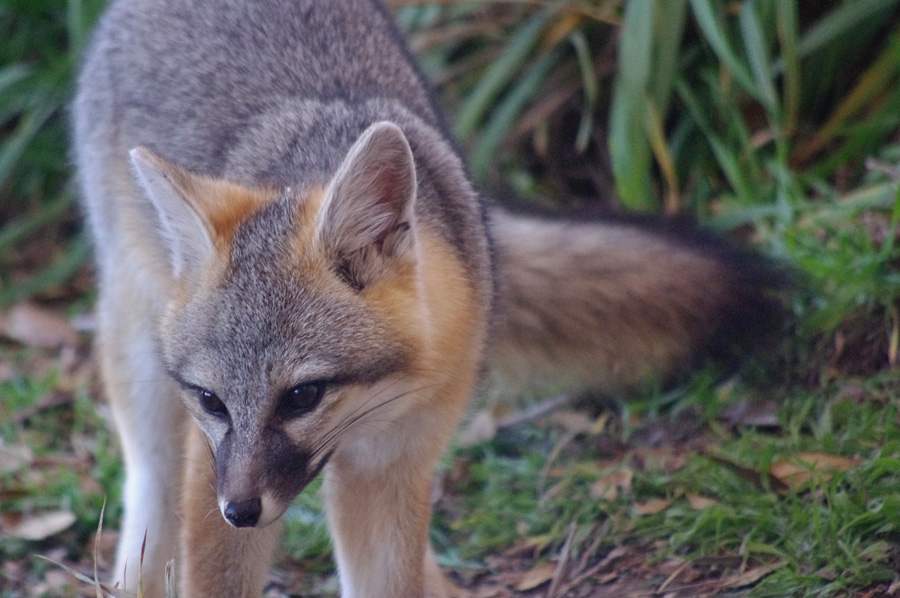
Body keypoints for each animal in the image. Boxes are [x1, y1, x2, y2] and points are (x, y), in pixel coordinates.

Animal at [74, 2, 784, 596]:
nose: (242, 511)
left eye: (302, 396)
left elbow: (389, 578)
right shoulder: (212, 476)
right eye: (211, 401)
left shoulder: (392, 466)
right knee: (149, 482)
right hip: (140, 361)